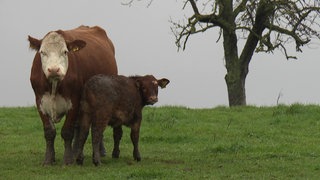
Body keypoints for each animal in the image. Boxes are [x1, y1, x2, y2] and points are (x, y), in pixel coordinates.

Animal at [28, 25, 117, 166]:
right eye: (42, 52)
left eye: (65, 52)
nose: (54, 70)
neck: (54, 85)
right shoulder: (40, 102)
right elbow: (49, 132)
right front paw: (49, 159)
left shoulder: (74, 101)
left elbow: (67, 131)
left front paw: (68, 160)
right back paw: (76, 151)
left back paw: (99, 151)